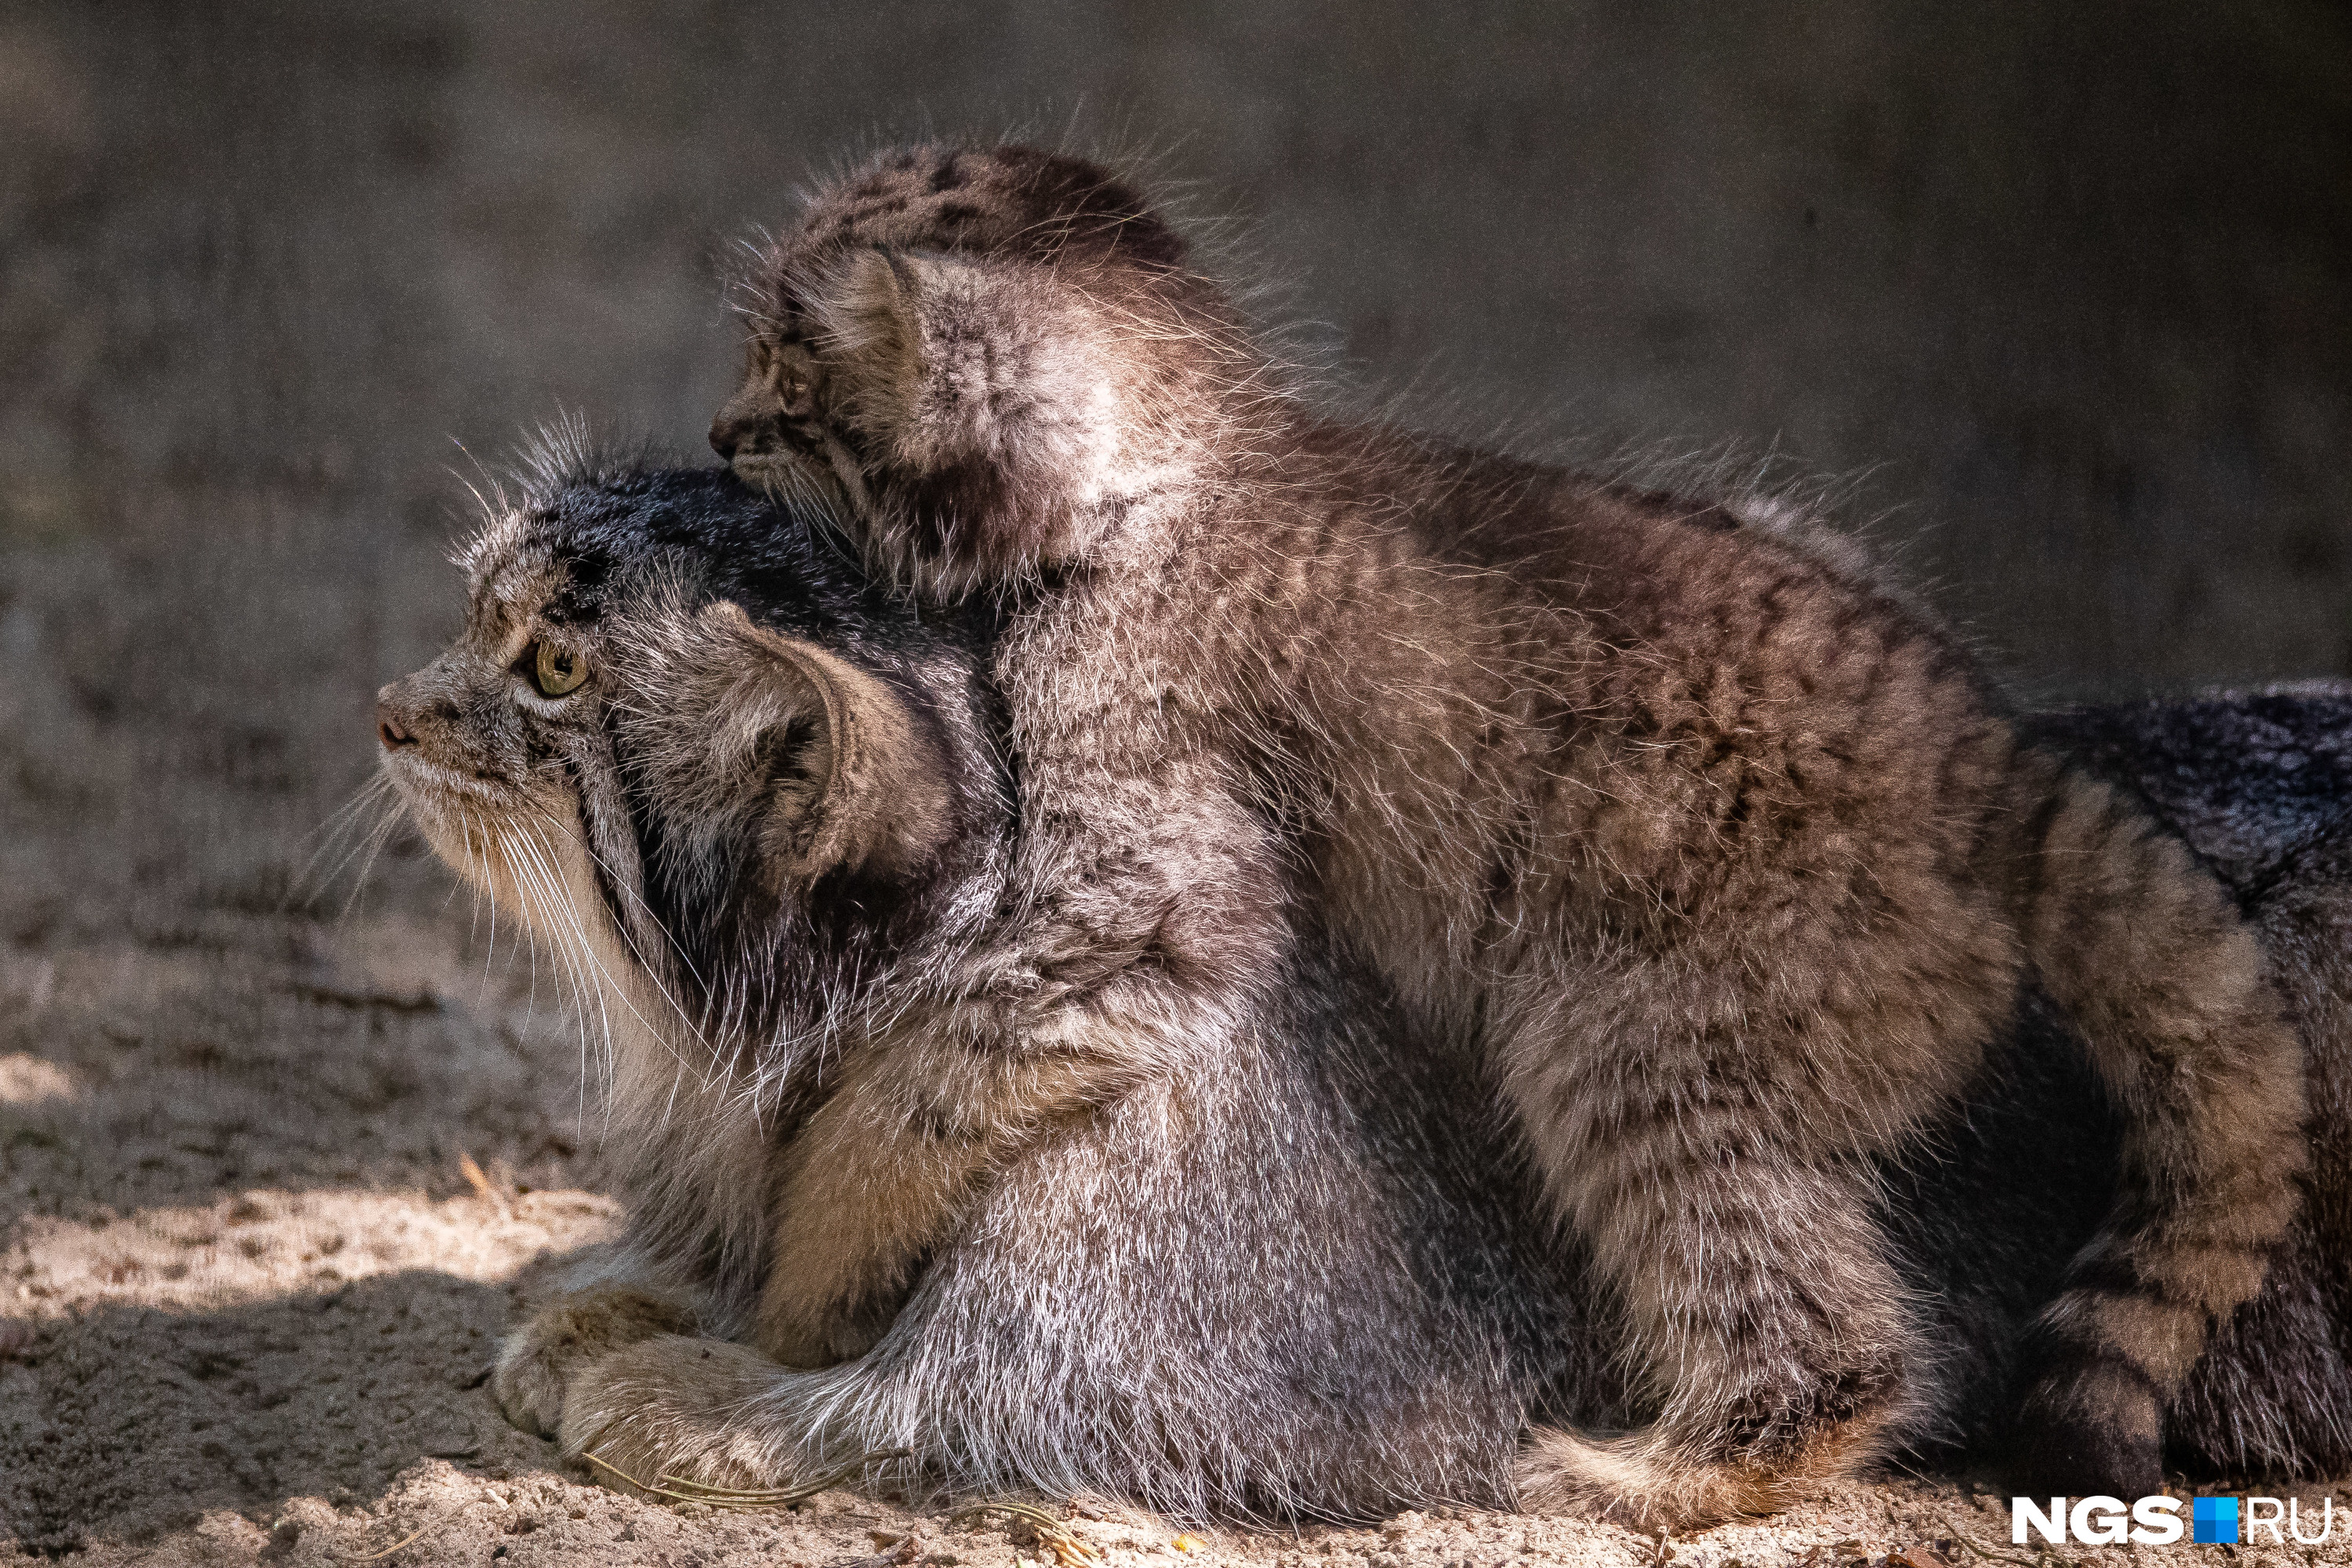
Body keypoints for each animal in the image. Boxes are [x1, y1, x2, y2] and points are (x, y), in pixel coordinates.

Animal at [706, 143, 2305, 1523]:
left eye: (787, 389)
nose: (718, 436)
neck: (1190, 442)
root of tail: (1988, 753)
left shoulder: (1139, 795)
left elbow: (943, 1066)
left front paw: (808, 1268)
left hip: (1645, 1040)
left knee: (1822, 1332)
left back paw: (1669, 1473)